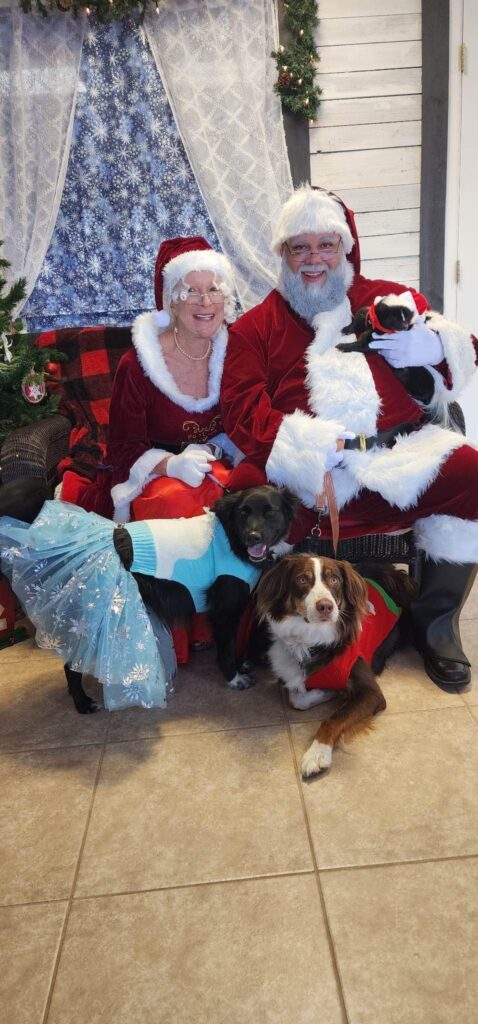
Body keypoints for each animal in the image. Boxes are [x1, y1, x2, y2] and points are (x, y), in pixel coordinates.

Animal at [64, 485, 297, 713]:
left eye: (270, 512)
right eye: (243, 513)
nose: (253, 536)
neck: (232, 540)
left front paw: (240, 667)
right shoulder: (224, 611)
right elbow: (227, 647)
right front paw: (234, 677)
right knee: (71, 663)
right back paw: (82, 703)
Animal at [255, 553, 417, 778]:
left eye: (334, 580)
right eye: (302, 579)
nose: (325, 606)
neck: (311, 640)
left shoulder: (371, 691)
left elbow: (333, 719)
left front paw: (317, 754)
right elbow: (297, 699)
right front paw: (328, 692)